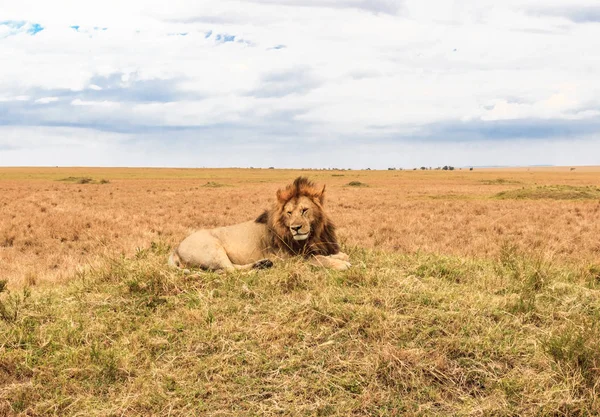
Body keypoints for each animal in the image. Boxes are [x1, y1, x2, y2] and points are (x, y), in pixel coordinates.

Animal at [169, 176, 350, 272]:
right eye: (289, 213)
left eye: (304, 210)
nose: (296, 228)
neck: (313, 235)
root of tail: (176, 248)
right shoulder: (289, 258)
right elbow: (317, 259)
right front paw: (340, 264)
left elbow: (333, 254)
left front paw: (340, 257)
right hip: (213, 248)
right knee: (230, 271)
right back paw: (259, 269)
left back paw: (263, 264)